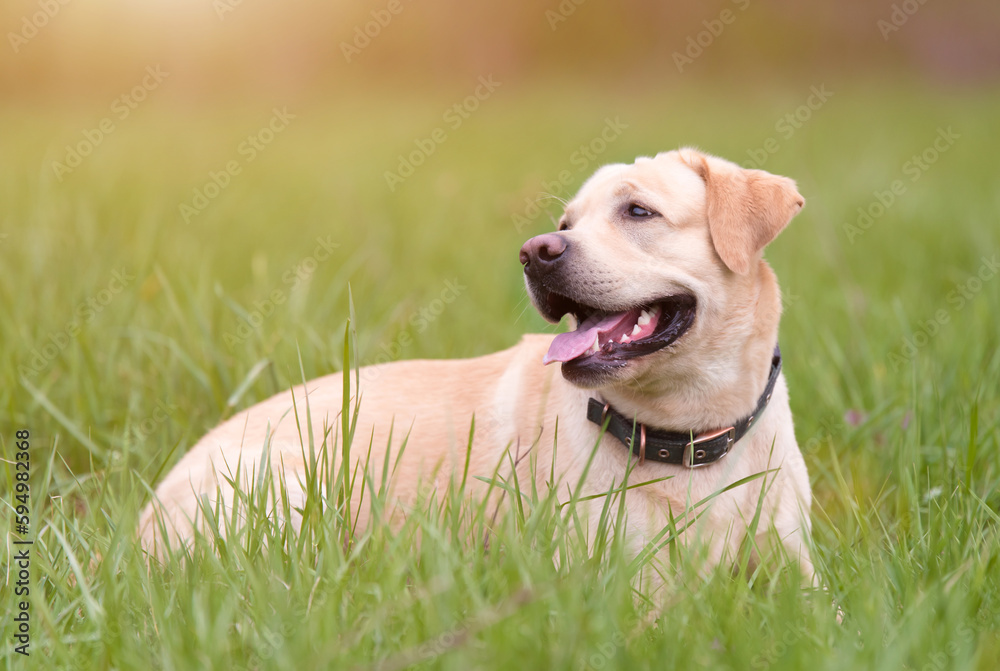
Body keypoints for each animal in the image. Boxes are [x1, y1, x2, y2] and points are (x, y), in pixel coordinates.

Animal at [139, 146, 812, 584]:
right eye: (565, 223)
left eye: (639, 212)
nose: (535, 251)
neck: (690, 433)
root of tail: (142, 524)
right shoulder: (615, 579)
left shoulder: (800, 577)